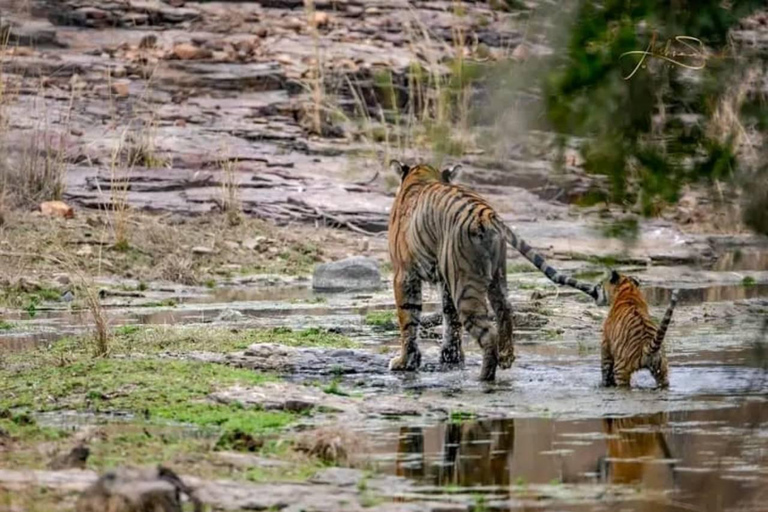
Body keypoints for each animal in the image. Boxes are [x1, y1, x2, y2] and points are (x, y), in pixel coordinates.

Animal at [390, 162, 600, 382]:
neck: (421, 176)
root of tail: (487, 214)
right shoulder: (446, 281)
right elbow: (450, 319)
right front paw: (451, 357)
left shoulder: (404, 274)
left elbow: (408, 319)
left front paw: (405, 362)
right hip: (496, 276)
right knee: (505, 309)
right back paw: (506, 357)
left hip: (465, 285)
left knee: (488, 332)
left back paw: (484, 376)